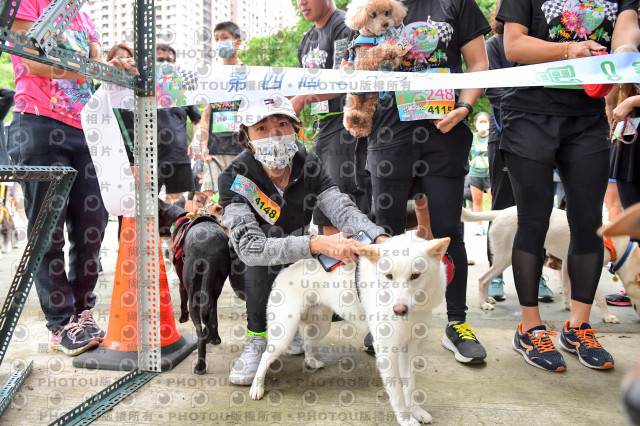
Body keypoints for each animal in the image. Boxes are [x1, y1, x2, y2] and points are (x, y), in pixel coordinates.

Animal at [158, 200, 230, 372]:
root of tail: (209, 247)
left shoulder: (182, 281)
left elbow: (182, 295)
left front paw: (182, 318)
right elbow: (212, 316)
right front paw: (214, 337)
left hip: (194, 294)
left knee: (199, 334)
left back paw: (200, 365)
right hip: (215, 286)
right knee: (210, 312)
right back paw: (213, 338)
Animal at [248, 233, 448, 426]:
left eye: (415, 275)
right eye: (388, 276)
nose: (399, 310)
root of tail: (286, 270)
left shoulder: (410, 347)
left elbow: (410, 385)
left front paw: (416, 410)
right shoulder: (387, 352)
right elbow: (398, 393)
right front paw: (405, 419)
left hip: (322, 326)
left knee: (308, 342)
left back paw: (311, 361)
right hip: (285, 334)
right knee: (266, 356)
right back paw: (257, 387)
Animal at [462, 207, 636, 322]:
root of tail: (501, 211)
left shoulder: (567, 263)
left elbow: (566, 288)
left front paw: (568, 306)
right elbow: (599, 297)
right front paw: (607, 317)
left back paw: (487, 299)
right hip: (505, 258)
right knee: (483, 279)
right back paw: (483, 304)